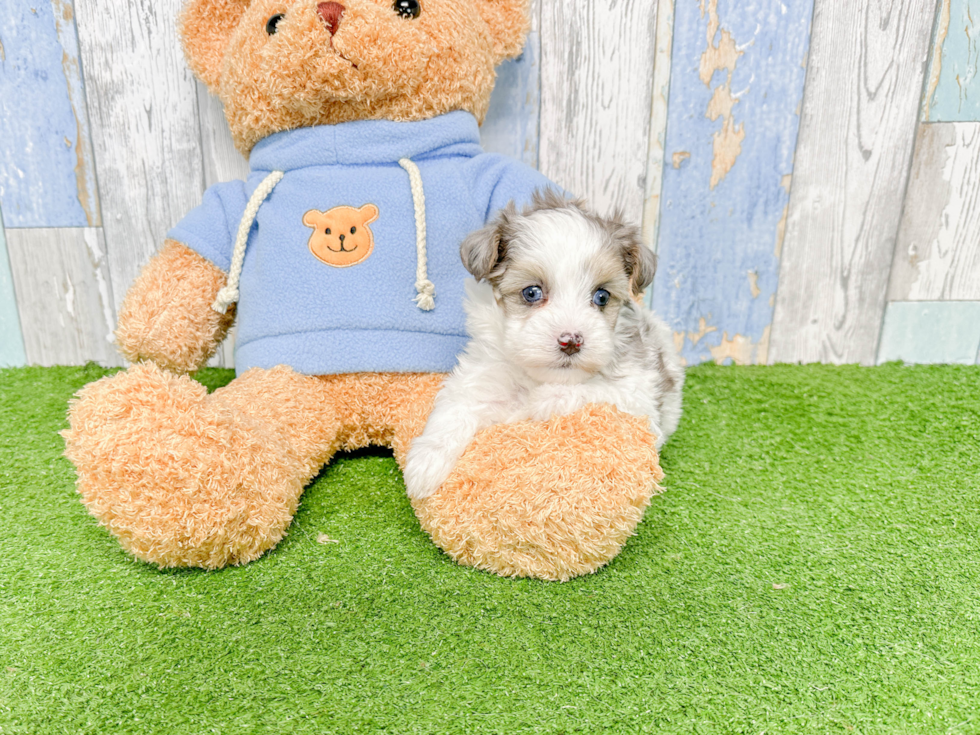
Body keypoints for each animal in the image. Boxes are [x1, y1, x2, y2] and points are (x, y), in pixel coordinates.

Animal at [402, 190, 684, 504]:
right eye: (532, 293)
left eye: (601, 296)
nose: (570, 341)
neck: (537, 377)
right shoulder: (482, 378)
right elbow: (455, 408)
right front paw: (426, 462)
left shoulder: (639, 393)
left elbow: (598, 391)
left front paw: (547, 398)